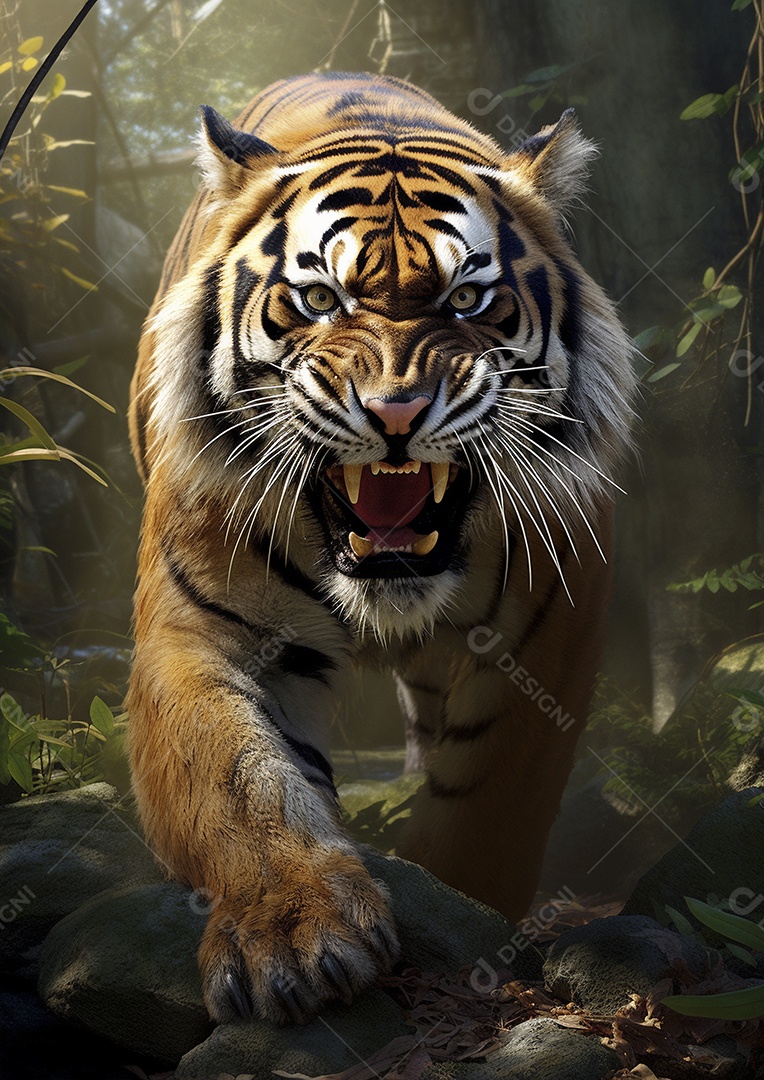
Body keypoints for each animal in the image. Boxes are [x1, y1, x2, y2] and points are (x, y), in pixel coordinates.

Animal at [127, 70, 635, 1026]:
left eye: (467, 300)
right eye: (321, 300)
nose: (396, 412)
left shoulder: (552, 627)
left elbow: (488, 804)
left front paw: (465, 915)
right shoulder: (196, 630)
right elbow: (235, 779)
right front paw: (293, 935)